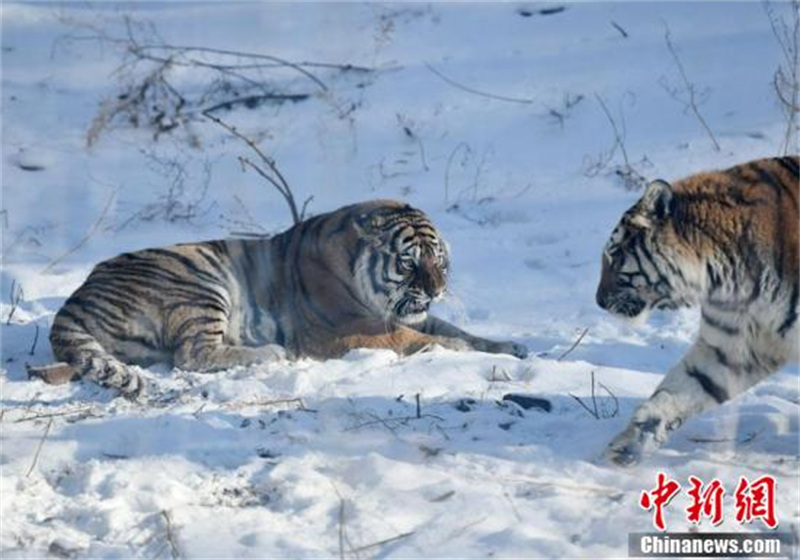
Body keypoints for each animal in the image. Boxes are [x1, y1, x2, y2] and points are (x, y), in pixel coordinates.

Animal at [39, 199, 528, 398]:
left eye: (439, 260)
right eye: (409, 263)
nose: (437, 290)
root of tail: (76, 296)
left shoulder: (408, 315)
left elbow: (455, 328)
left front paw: (510, 346)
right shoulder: (345, 330)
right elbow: (417, 339)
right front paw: (457, 349)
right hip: (201, 281)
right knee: (192, 354)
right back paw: (270, 352)